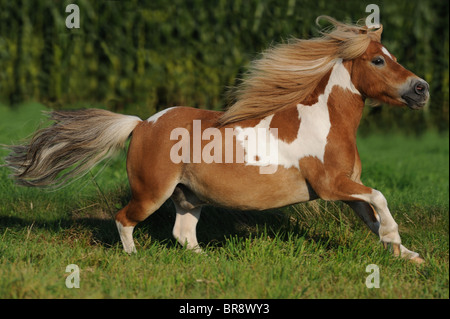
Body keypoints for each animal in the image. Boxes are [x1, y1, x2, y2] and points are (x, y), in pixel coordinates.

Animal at [4, 16, 428, 264]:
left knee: (182, 234)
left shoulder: (347, 189)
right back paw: (135, 257)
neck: (324, 122)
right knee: (125, 219)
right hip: (152, 192)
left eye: (391, 56)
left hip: (189, 196)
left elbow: (373, 216)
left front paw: (407, 254)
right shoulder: (331, 186)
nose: (421, 89)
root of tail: (142, 124)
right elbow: (380, 199)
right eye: (378, 60)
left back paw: (205, 261)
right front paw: (399, 243)